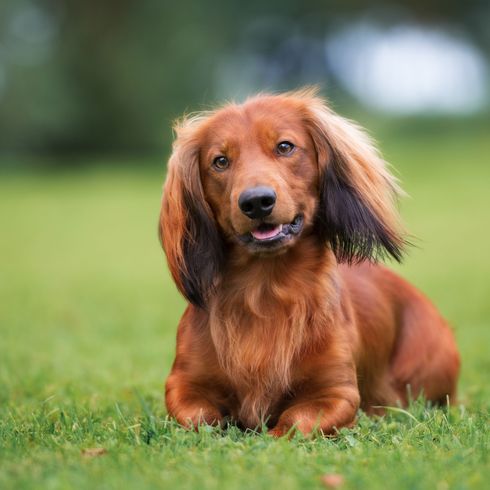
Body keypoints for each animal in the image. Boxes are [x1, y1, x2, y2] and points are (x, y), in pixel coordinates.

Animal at [158, 88, 460, 436]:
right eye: (220, 161)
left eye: (285, 146)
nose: (256, 202)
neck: (265, 289)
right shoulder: (181, 385)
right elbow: (199, 418)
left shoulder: (336, 394)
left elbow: (292, 424)